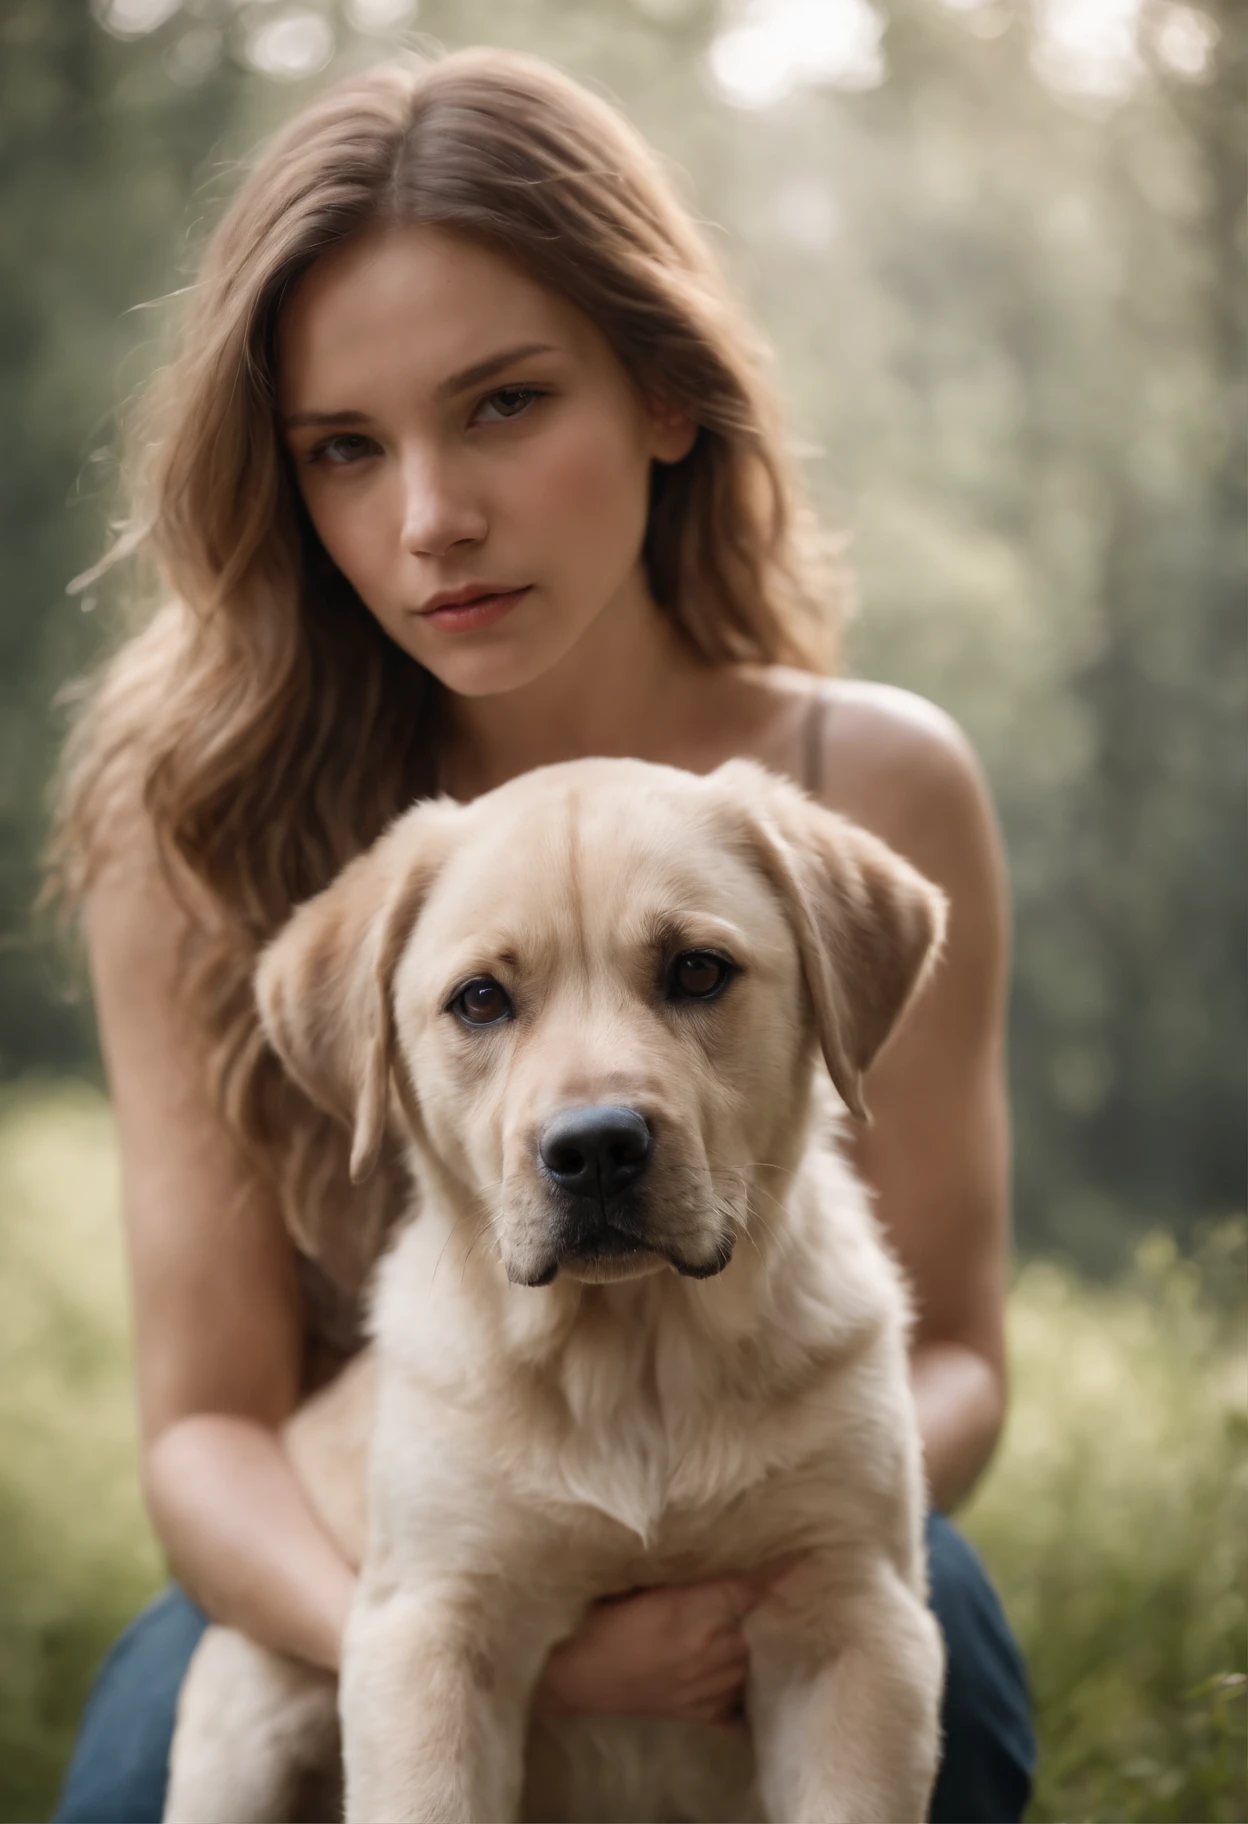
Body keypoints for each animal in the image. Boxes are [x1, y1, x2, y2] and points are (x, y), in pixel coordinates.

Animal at [163, 755, 948, 1824]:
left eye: (697, 970)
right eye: (480, 1000)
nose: (597, 1147)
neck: (634, 1364)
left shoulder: (856, 1614)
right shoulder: (432, 1625)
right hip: (242, 1723)